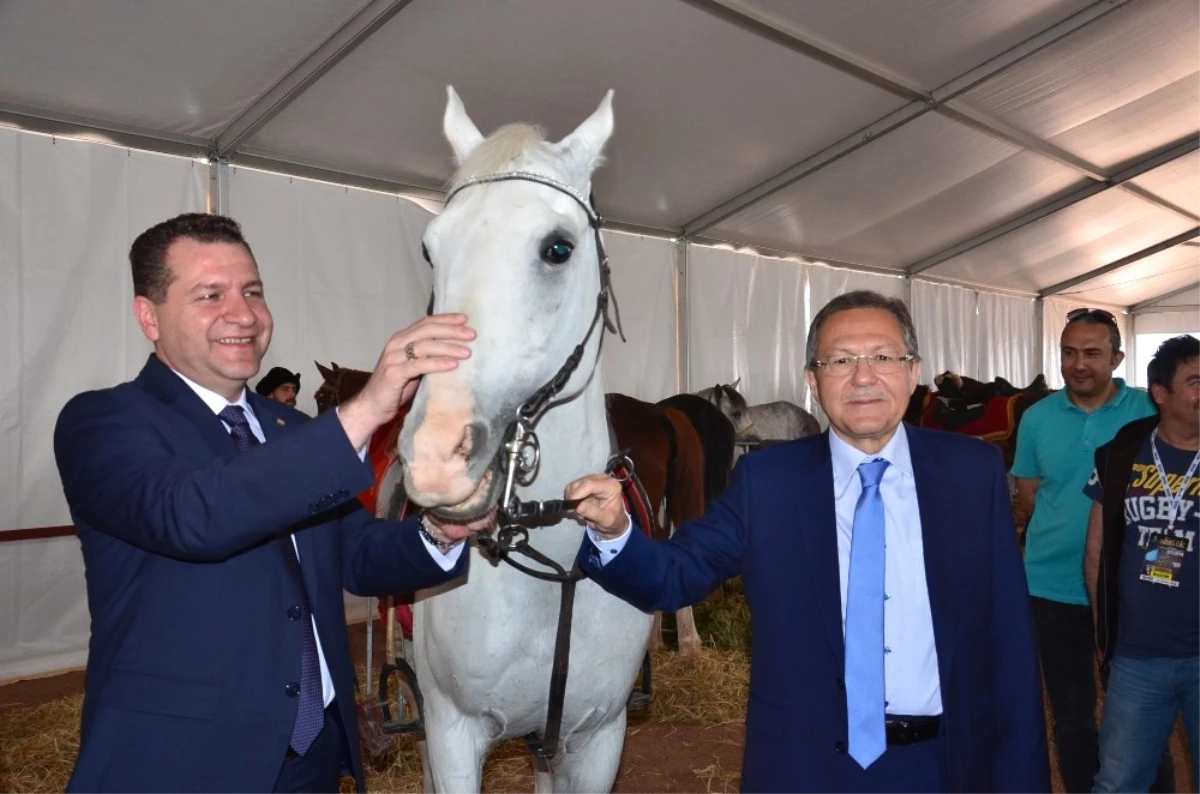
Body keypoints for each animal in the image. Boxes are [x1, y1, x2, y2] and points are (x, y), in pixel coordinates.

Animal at [398, 86, 652, 794]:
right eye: (430, 250)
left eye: (558, 248)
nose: (436, 457)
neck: (554, 570)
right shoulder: (451, 732)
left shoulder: (596, 740)